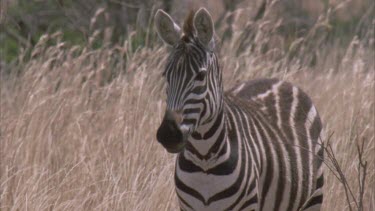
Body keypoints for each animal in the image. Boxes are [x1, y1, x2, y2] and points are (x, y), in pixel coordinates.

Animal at [154, 8, 324, 211]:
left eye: (201, 76)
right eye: (165, 75)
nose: (168, 134)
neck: (204, 160)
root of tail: (280, 80)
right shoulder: (187, 207)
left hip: (314, 197)